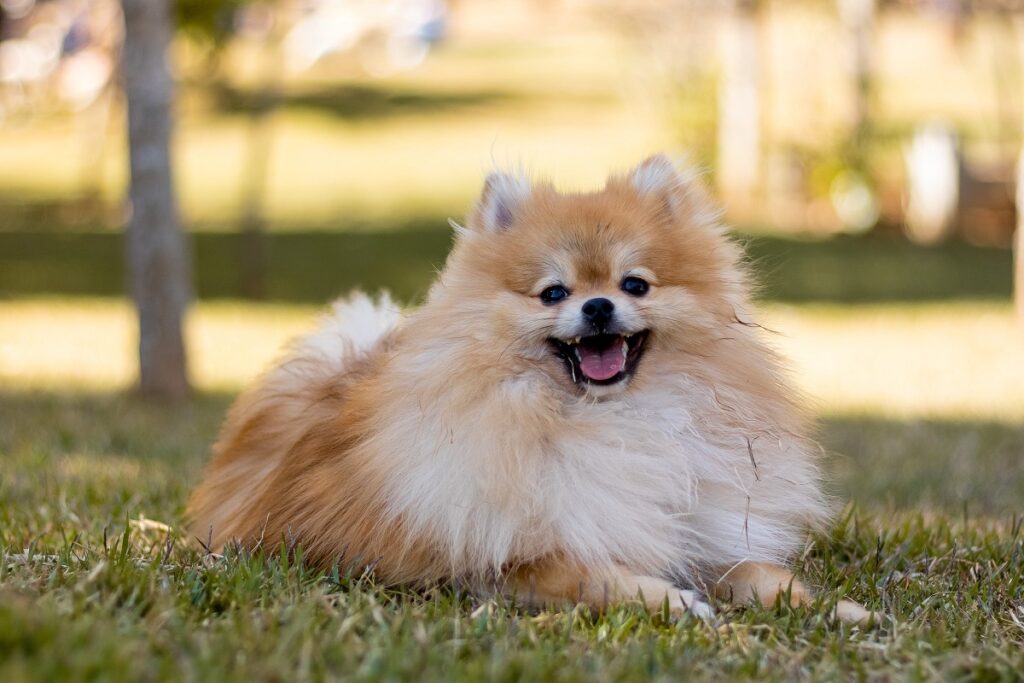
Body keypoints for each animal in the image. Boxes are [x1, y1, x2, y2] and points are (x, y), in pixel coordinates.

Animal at [186, 156, 872, 626]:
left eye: (635, 284)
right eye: (553, 293)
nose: (597, 306)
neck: (614, 420)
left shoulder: (695, 527)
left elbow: (759, 572)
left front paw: (834, 610)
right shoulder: (509, 558)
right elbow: (596, 577)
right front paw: (675, 602)